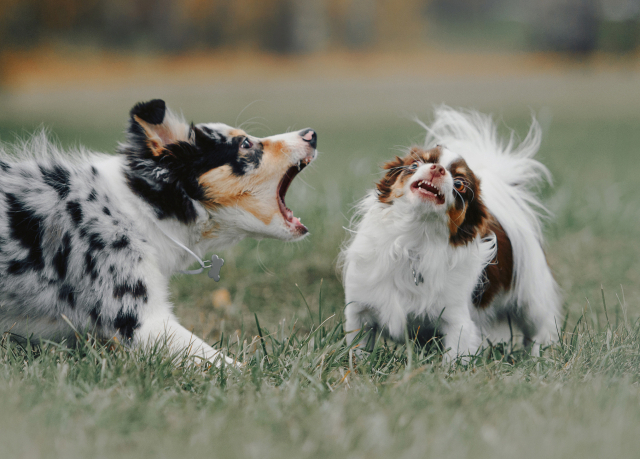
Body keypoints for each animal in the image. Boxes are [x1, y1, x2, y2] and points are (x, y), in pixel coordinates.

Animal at [342, 108, 556, 362]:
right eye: (415, 164)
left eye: (461, 184)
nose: (437, 169)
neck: (415, 240)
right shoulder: (360, 312)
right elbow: (358, 350)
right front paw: (357, 366)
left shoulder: (456, 321)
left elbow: (454, 357)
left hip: (530, 301)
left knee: (540, 329)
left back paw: (540, 357)